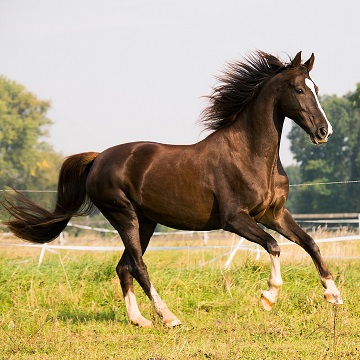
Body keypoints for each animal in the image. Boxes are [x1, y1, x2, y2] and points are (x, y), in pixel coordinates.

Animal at [0, 51, 344, 330]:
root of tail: (98, 159)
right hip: (123, 216)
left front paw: (334, 294)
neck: (251, 155)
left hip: (145, 222)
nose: (323, 132)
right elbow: (273, 246)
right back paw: (169, 317)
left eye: (316, 88)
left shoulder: (274, 214)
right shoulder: (235, 219)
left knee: (124, 266)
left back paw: (139, 320)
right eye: (299, 89)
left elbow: (310, 243)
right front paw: (268, 296)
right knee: (138, 265)